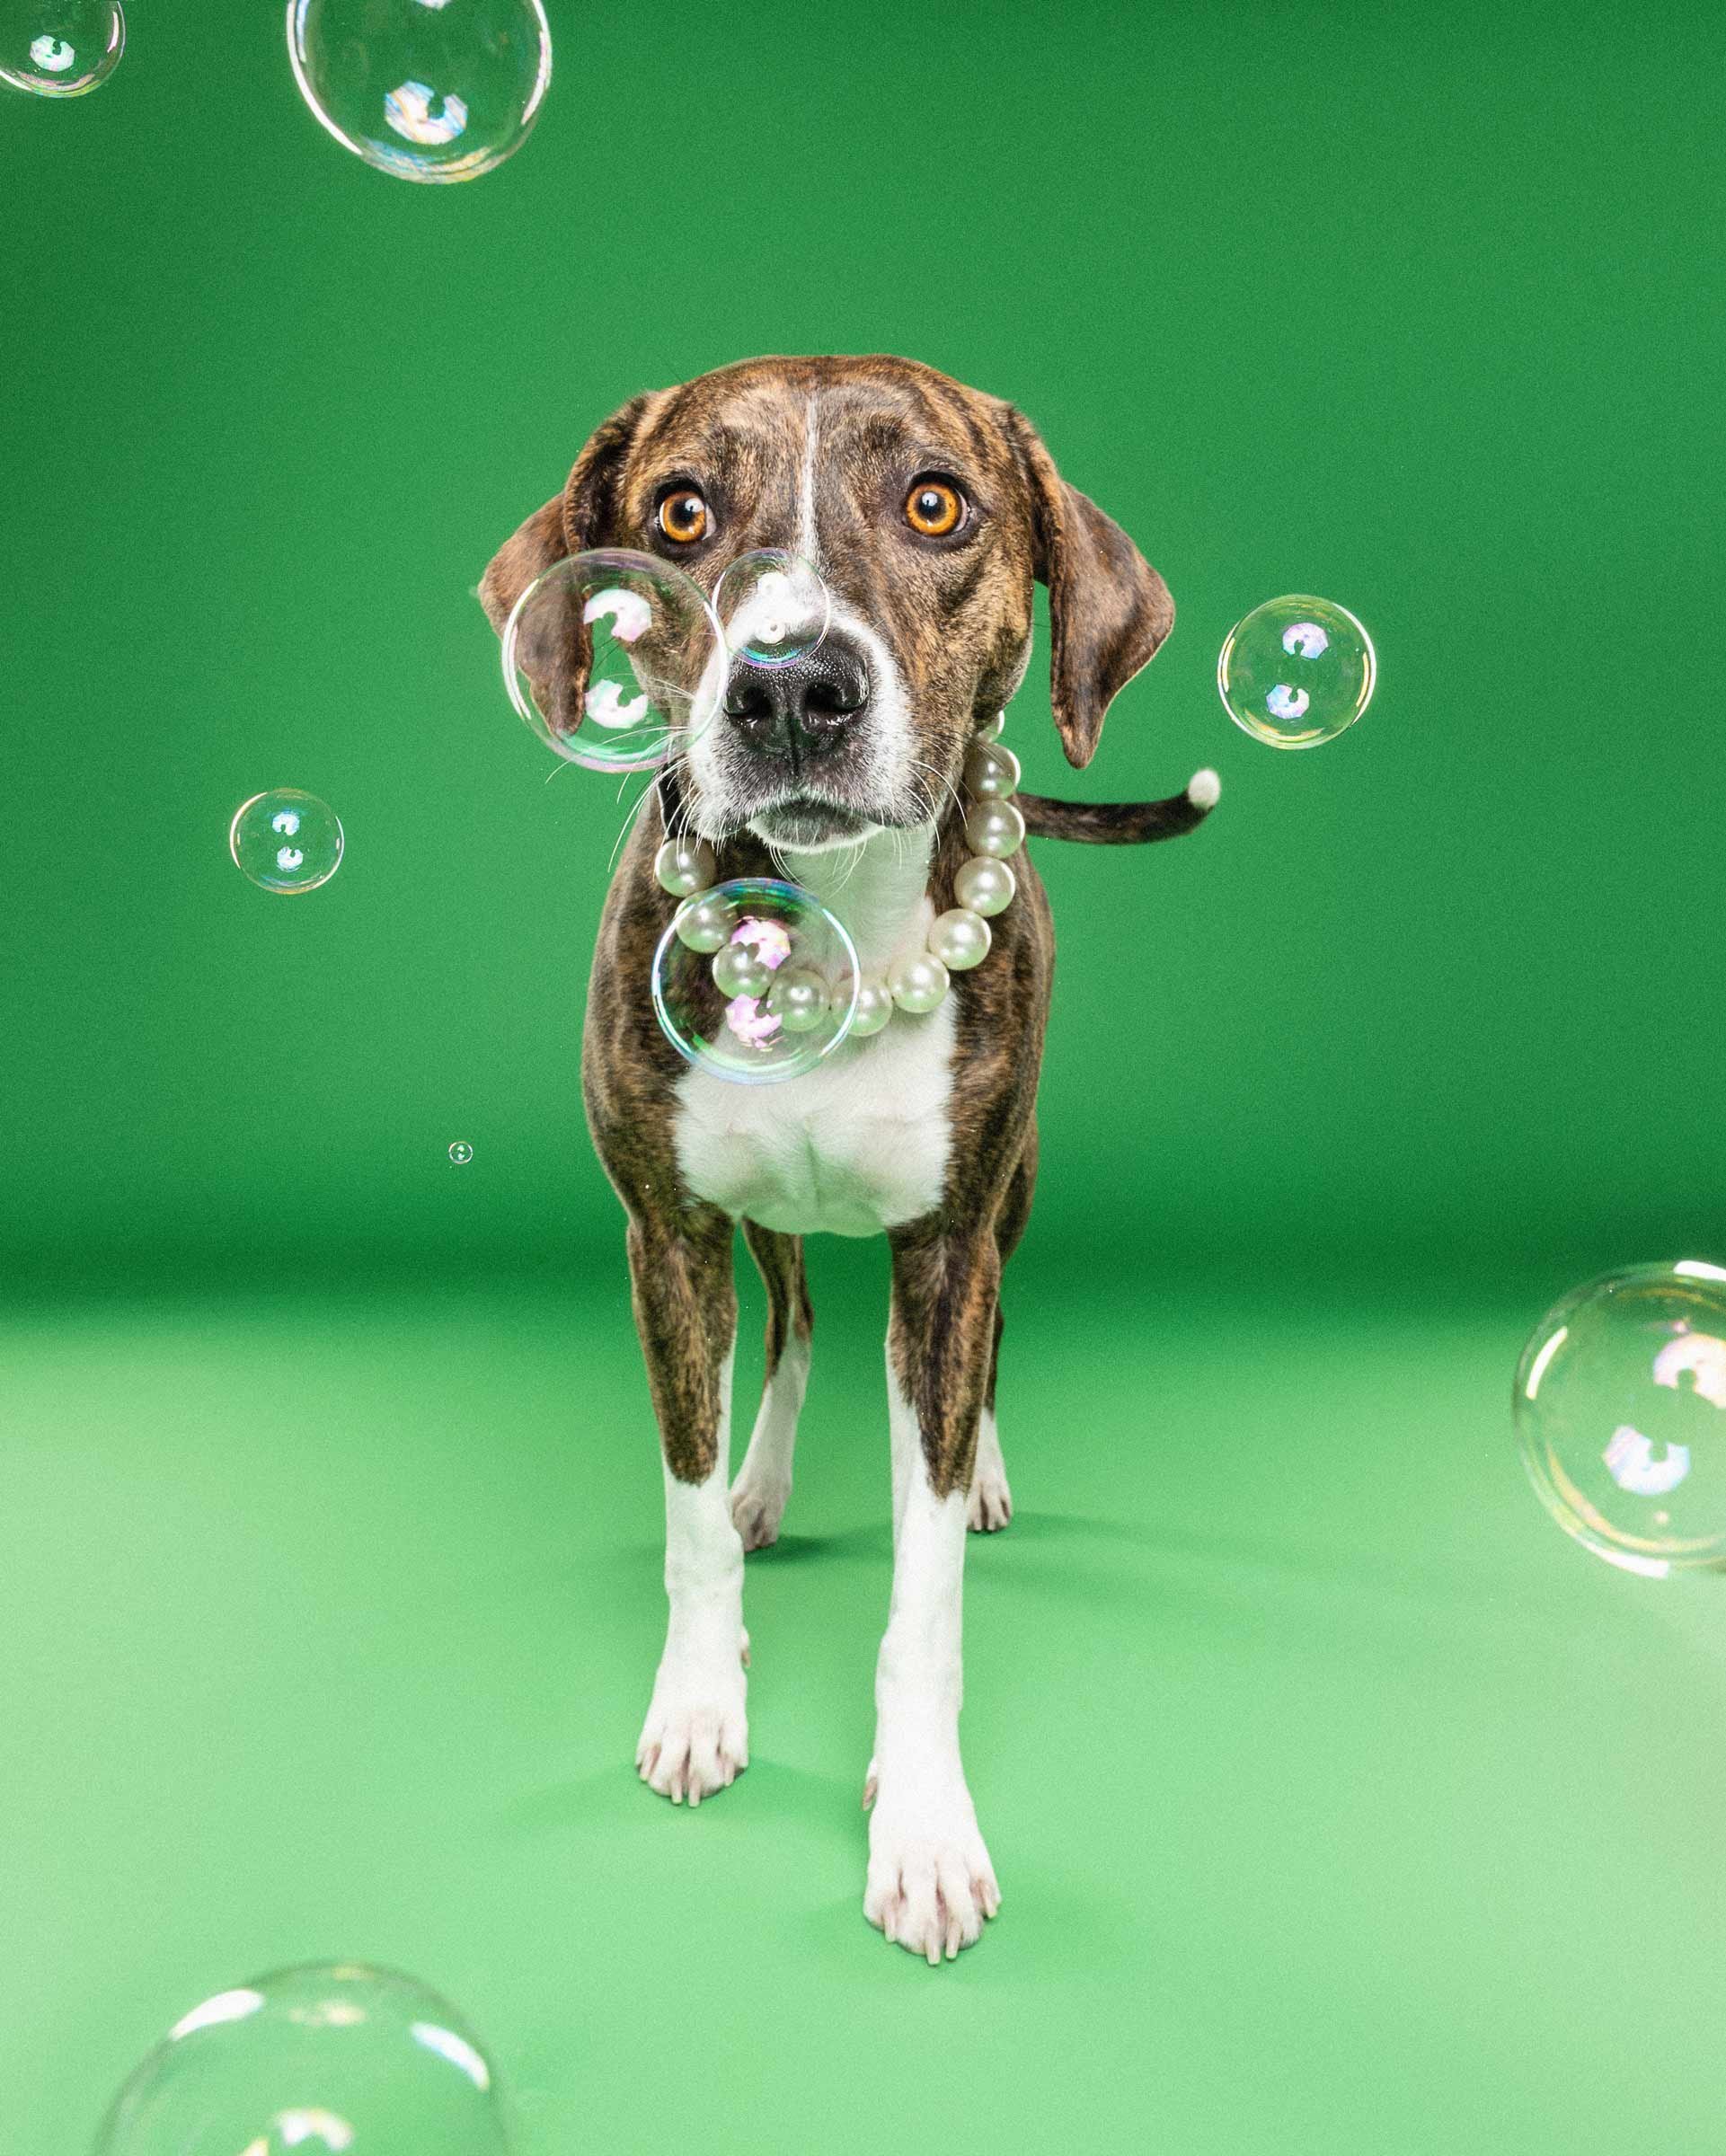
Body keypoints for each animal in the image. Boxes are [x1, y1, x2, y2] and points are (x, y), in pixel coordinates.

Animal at [479, 358, 1217, 1975]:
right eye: (680, 514)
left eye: (935, 504)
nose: (788, 685)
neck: (834, 932)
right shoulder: (668, 1236)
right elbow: (687, 1517)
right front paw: (701, 1699)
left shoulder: (945, 1248)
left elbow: (925, 1591)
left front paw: (923, 1826)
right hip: (763, 1221)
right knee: (800, 1321)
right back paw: (765, 1484)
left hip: (1011, 1198)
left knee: (981, 1341)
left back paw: (982, 1464)